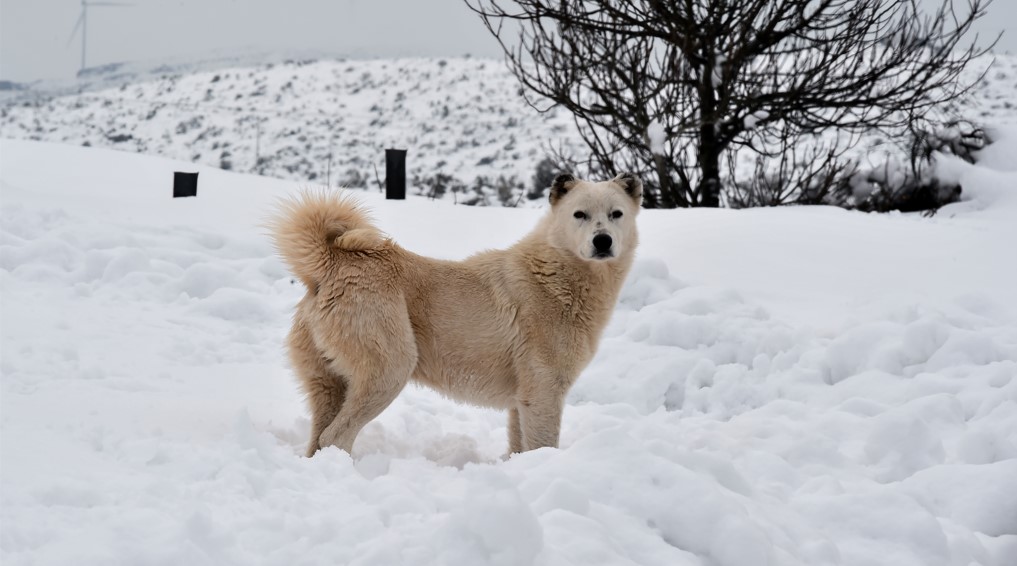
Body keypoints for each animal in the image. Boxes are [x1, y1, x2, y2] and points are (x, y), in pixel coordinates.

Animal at [274, 171, 638, 455]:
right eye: (580, 214)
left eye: (616, 213)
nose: (602, 241)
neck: (556, 275)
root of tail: (331, 262)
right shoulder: (543, 391)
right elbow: (543, 444)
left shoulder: (521, 400)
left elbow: (518, 446)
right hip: (390, 368)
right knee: (335, 437)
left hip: (329, 382)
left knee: (318, 438)